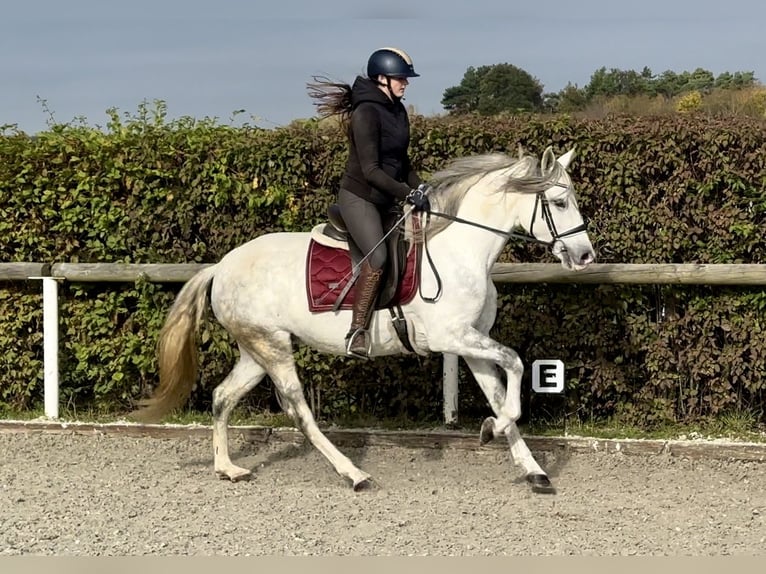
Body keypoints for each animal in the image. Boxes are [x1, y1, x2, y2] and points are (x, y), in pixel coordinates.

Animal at [130, 144, 600, 496]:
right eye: (559, 202)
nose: (585, 256)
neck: (462, 248)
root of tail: (221, 266)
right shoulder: (452, 337)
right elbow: (516, 365)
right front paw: (491, 431)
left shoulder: (473, 341)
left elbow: (501, 395)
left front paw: (532, 468)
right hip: (272, 347)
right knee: (299, 410)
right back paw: (353, 474)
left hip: (256, 348)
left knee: (222, 397)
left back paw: (228, 468)